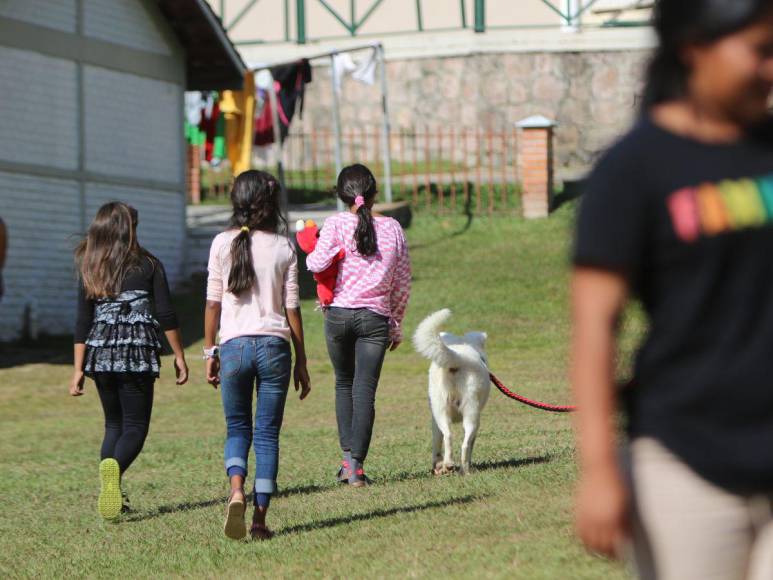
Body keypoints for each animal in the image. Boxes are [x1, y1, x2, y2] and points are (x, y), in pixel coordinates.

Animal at [416, 310, 488, 474]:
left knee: (449, 436)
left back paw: (448, 464)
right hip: (472, 413)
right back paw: (465, 470)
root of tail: (458, 359)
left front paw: (438, 465)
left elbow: (438, 442)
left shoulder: (434, 421)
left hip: (442, 409)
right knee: (465, 444)